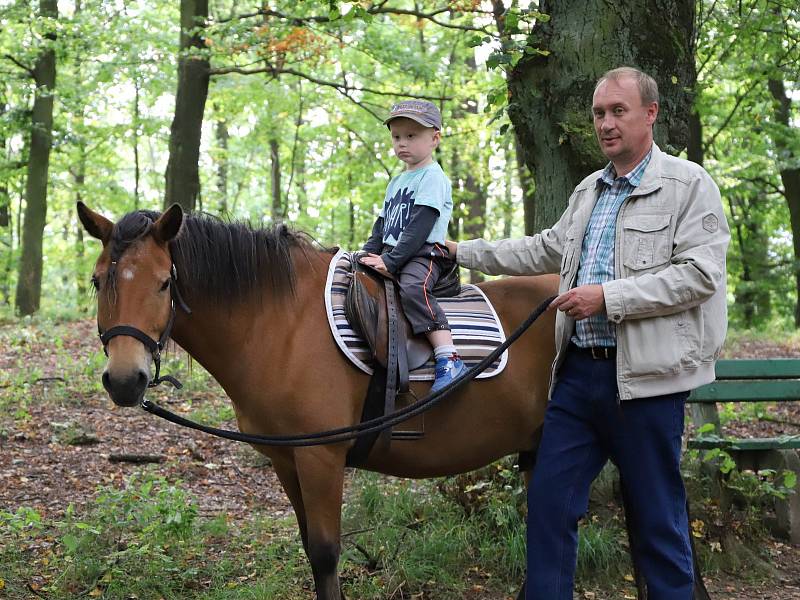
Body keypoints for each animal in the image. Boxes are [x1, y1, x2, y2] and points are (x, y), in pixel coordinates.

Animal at [78, 203, 560, 600]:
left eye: (164, 284)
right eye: (98, 281)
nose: (124, 380)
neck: (281, 325)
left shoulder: (321, 457)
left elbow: (327, 553)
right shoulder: (285, 458)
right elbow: (310, 547)